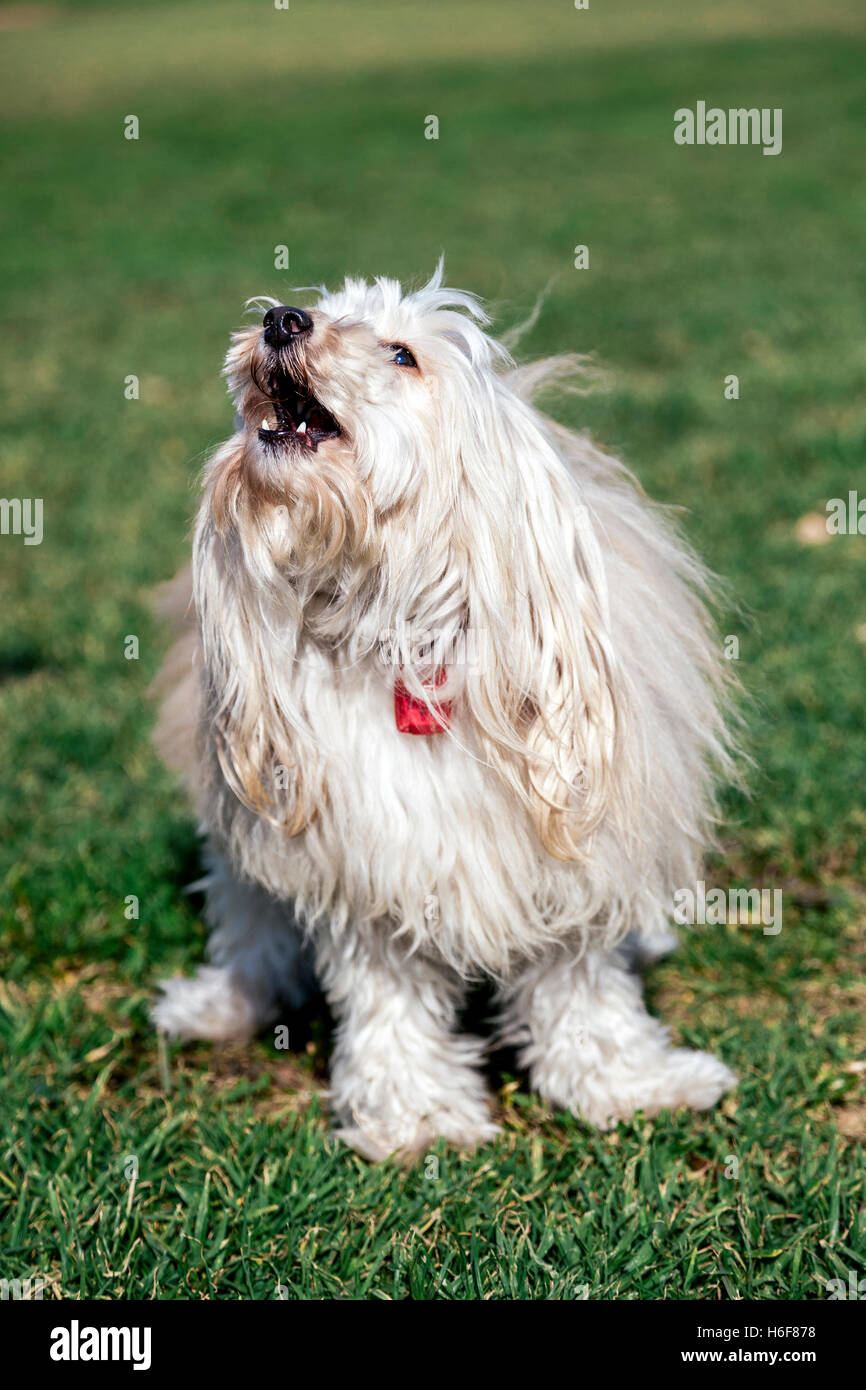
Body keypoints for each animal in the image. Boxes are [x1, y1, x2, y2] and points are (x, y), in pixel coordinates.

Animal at [154, 265, 739, 1156]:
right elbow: (387, 1003)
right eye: (322, 312)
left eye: (402, 354)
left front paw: (634, 1085)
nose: (284, 320)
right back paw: (221, 1003)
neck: (403, 634)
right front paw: (419, 1115)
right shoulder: (365, 865)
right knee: (250, 926)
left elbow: (585, 992)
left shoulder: (565, 857)